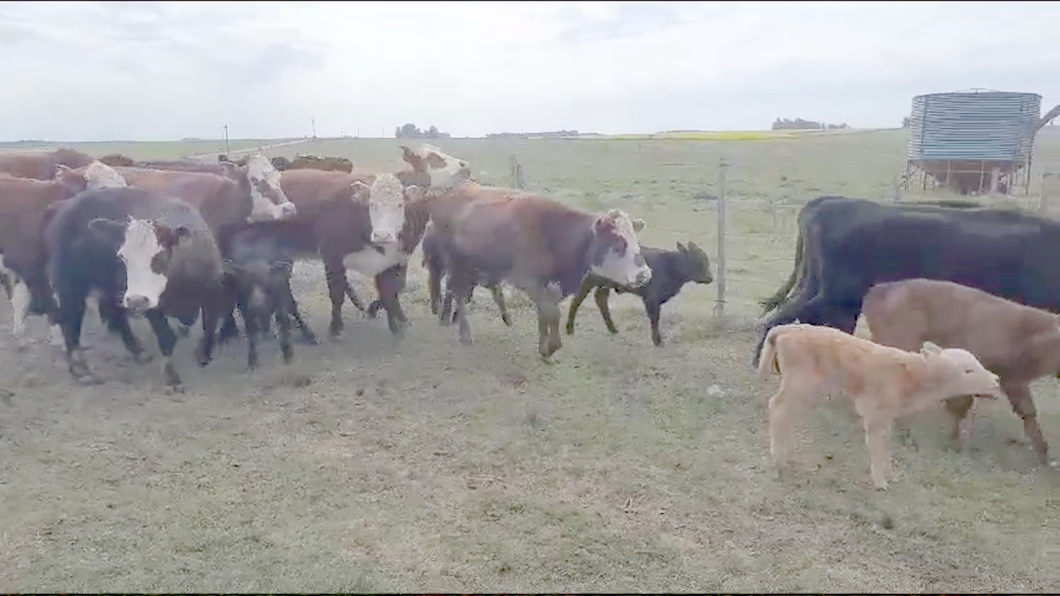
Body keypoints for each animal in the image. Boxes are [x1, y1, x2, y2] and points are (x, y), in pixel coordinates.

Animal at [43, 186, 225, 390]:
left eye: (160, 256)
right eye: (123, 257)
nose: (136, 299)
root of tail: (63, 207)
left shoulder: (212, 291)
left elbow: (210, 325)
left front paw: (203, 354)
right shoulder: (152, 307)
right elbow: (166, 338)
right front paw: (172, 376)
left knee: (114, 313)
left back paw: (137, 351)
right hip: (71, 284)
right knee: (71, 320)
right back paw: (81, 370)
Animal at [423, 181, 652, 356]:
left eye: (635, 241)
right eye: (617, 243)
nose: (645, 274)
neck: (554, 233)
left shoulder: (550, 287)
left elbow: (545, 314)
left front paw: (544, 346)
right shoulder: (528, 280)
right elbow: (552, 312)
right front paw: (551, 348)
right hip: (458, 265)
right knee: (459, 294)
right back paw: (464, 333)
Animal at [563, 239, 712, 345]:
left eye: (706, 260)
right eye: (697, 261)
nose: (710, 278)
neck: (670, 266)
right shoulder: (651, 298)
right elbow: (655, 318)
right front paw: (657, 341)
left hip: (606, 284)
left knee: (600, 298)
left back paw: (613, 329)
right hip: (589, 279)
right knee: (578, 299)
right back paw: (569, 328)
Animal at [758, 322, 996, 489]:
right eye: (967, 370)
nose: (996, 380)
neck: (911, 380)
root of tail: (782, 330)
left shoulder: (888, 415)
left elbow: (886, 443)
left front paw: (891, 475)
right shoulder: (874, 411)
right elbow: (876, 444)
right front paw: (881, 482)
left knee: (788, 414)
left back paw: (788, 457)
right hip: (800, 382)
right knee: (777, 408)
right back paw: (779, 461)